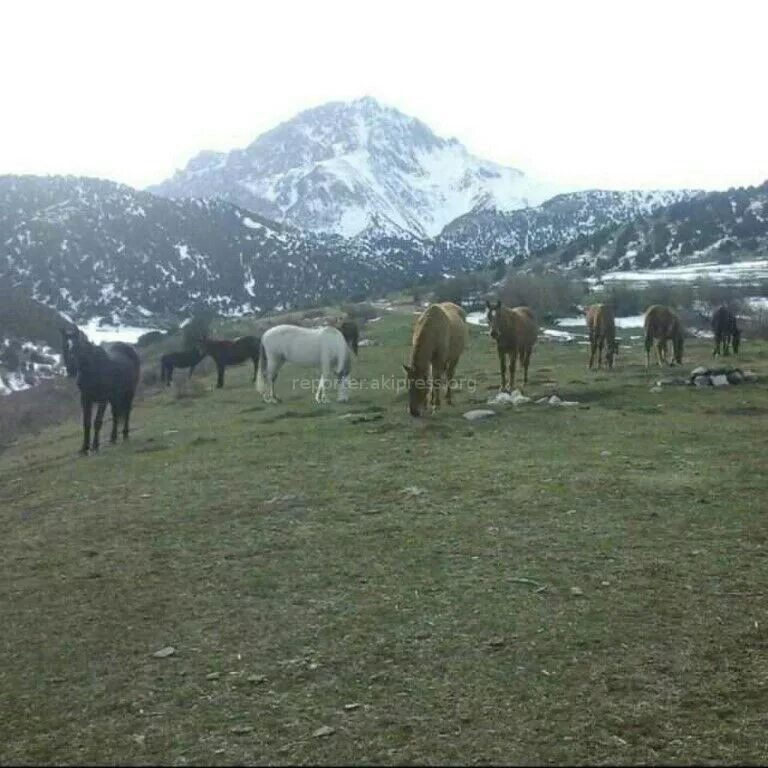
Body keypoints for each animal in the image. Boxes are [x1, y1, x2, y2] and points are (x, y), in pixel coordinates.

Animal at [60, 326, 140, 456]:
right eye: (64, 346)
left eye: (77, 346)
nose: (71, 370)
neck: (93, 369)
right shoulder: (85, 399)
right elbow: (86, 423)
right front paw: (84, 448)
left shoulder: (103, 399)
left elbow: (97, 422)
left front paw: (95, 446)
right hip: (114, 397)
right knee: (115, 414)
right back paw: (113, 438)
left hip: (129, 392)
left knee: (127, 412)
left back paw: (125, 435)